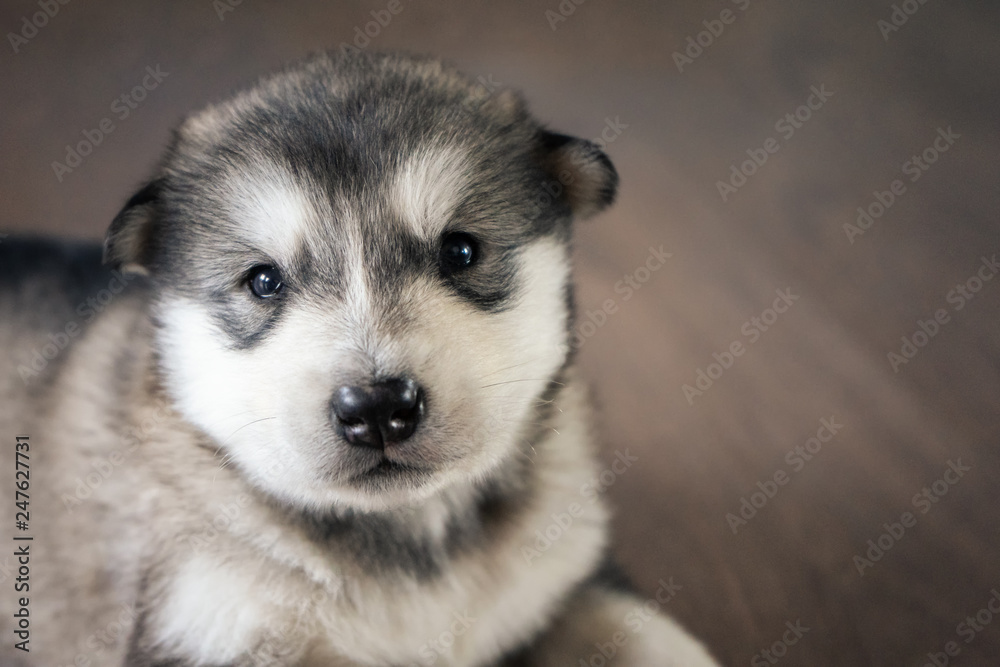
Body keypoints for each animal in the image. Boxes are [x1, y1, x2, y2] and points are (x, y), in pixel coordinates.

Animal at [0, 49, 720, 664]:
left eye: (461, 251)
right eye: (264, 281)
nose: (377, 407)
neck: (410, 544)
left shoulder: (570, 577)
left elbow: (657, 637)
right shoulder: (208, 621)